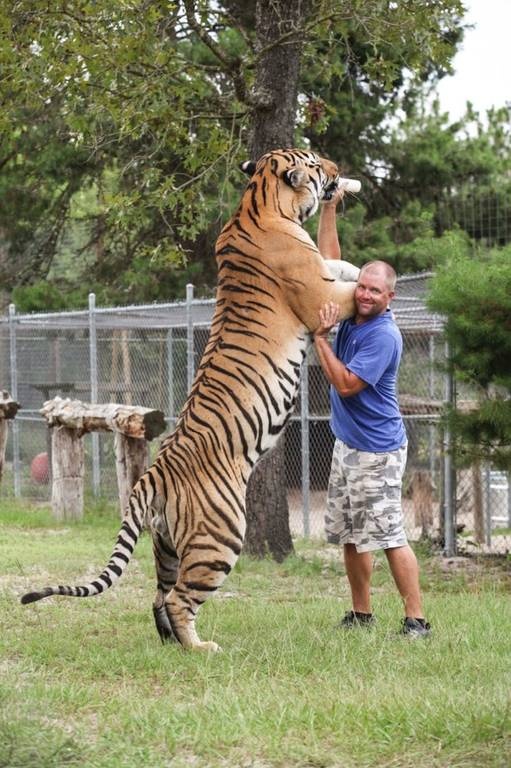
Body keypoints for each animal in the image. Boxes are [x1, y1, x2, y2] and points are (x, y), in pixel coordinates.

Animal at [21, 147, 360, 652]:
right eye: (318, 163)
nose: (338, 171)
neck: (259, 201)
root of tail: (152, 475)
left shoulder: (321, 271)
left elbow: (340, 267)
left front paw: (360, 269)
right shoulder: (319, 294)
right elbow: (350, 289)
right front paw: (378, 282)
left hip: (166, 546)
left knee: (159, 595)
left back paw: (172, 645)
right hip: (220, 538)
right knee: (181, 599)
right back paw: (201, 649)